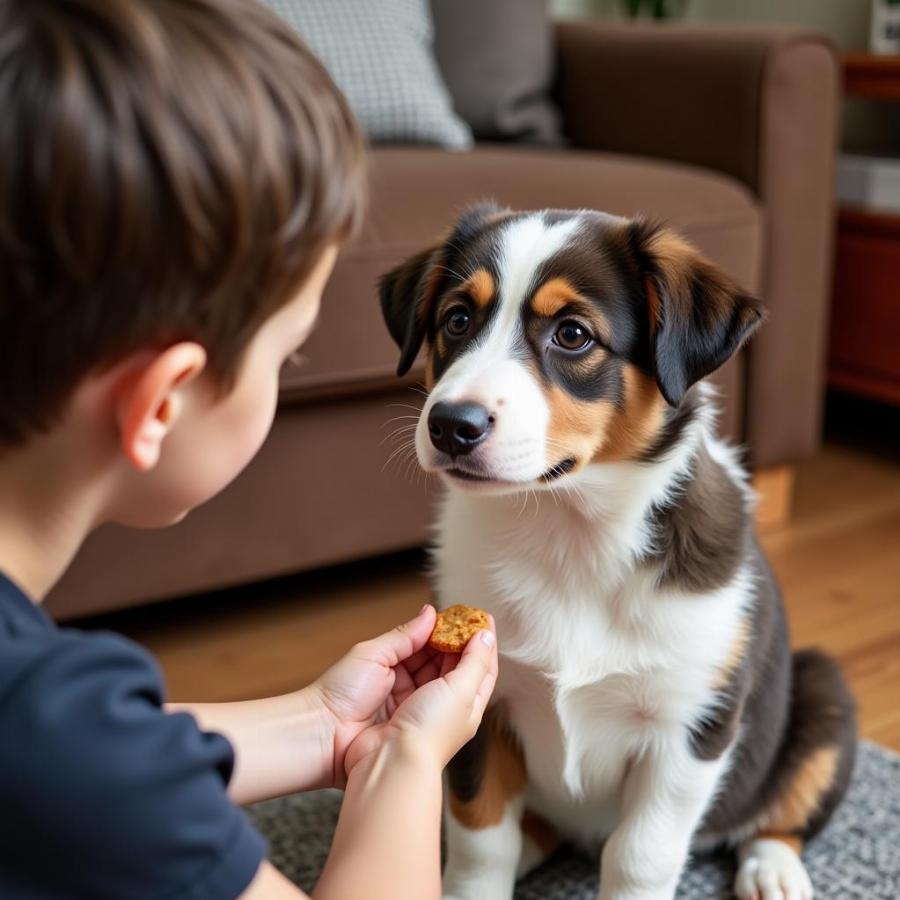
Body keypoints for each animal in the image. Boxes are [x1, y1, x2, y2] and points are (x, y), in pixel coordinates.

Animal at [376, 206, 856, 900]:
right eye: (457, 320)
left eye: (573, 334)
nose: (450, 426)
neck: (568, 532)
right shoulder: (482, 706)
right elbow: (481, 839)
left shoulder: (689, 726)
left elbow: (639, 855)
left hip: (823, 695)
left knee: (778, 813)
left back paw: (774, 868)